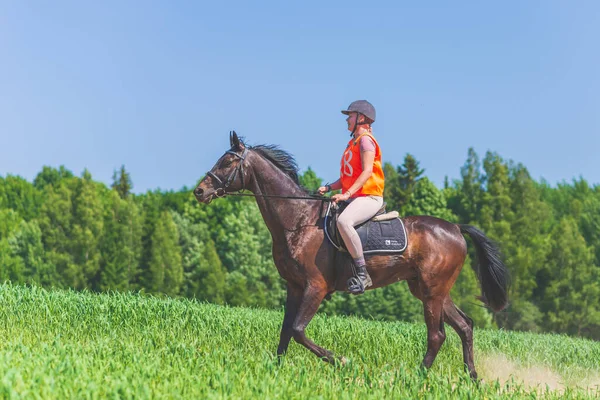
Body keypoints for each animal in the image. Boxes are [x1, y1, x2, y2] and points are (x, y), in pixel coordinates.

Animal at [195, 131, 508, 378]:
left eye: (227, 162)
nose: (199, 191)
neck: (297, 219)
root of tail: (455, 227)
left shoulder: (316, 287)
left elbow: (298, 329)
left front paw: (341, 361)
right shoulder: (294, 286)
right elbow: (285, 331)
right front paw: (275, 372)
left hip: (432, 291)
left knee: (437, 335)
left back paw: (416, 378)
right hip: (430, 289)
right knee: (464, 326)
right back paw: (472, 378)